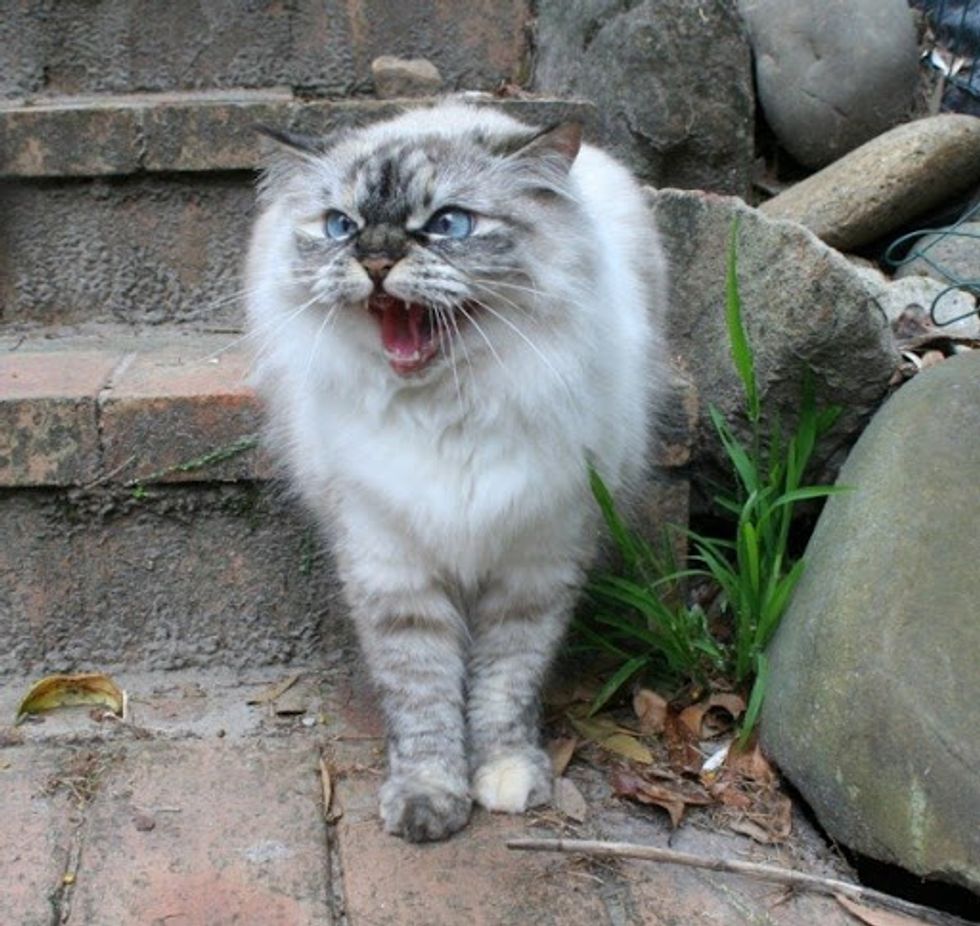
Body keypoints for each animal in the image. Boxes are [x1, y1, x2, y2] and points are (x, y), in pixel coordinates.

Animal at [247, 99, 668, 840]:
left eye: (447, 225)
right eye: (340, 226)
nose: (375, 258)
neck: (448, 412)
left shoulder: (535, 567)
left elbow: (504, 688)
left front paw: (506, 777)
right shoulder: (393, 570)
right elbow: (424, 701)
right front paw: (429, 800)